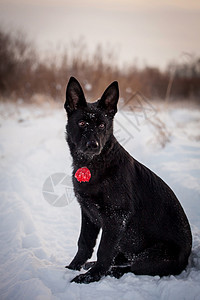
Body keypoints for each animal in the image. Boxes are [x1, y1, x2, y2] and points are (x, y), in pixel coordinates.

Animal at [64, 77, 192, 284]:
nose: (93, 145)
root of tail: (187, 259)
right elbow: (84, 243)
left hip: (153, 256)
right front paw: (72, 267)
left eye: (102, 125)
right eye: (82, 122)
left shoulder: (116, 217)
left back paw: (109, 271)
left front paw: (91, 277)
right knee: (121, 258)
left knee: (130, 267)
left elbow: (104, 250)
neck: (94, 164)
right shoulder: (88, 213)